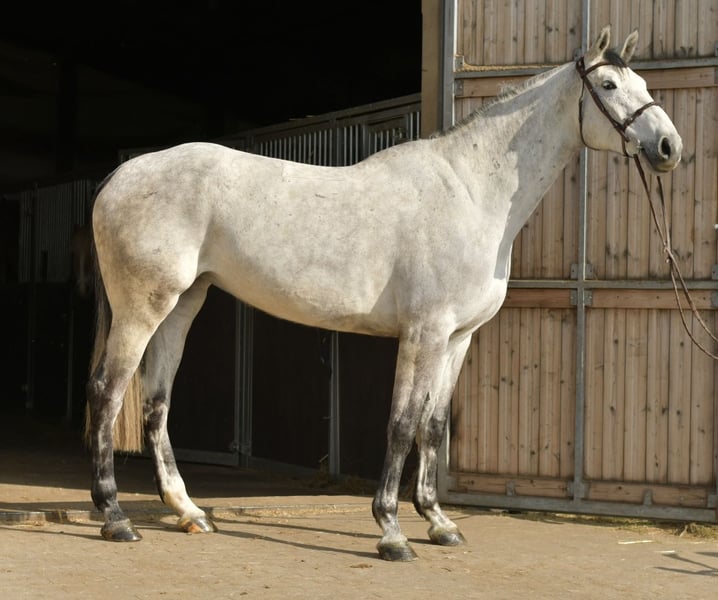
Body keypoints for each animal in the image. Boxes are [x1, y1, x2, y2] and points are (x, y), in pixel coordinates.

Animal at [86, 26, 681, 561]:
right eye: (608, 84)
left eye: (643, 81)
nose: (668, 147)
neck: (470, 192)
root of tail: (118, 177)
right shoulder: (424, 333)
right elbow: (400, 424)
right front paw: (392, 531)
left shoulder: (458, 338)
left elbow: (433, 427)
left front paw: (439, 523)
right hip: (143, 308)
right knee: (107, 392)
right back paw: (115, 518)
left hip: (183, 304)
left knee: (157, 402)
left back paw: (189, 512)